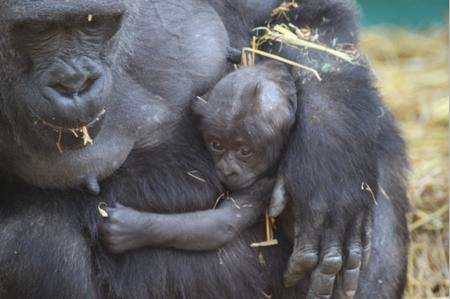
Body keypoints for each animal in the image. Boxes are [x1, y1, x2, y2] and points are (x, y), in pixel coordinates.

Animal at [101, 62, 298, 254]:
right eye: (216, 145)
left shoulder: (264, 183)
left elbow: (221, 224)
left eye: (244, 151)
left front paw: (131, 228)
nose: (227, 170)